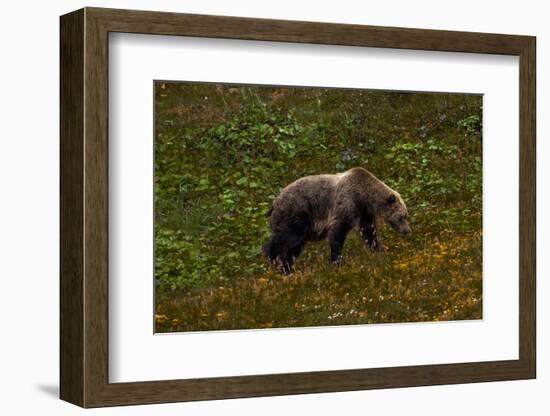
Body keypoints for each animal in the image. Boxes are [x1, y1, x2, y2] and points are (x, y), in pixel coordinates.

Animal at [266, 167, 412, 274]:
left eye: (406, 215)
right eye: (402, 216)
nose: (408, 230)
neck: (364, 196)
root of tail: (275, 202)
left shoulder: (364, 212)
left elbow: (370, 232)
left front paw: (381, 249)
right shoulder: (347, 202)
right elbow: (338, 232)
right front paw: (336, 262)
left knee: (294, 247)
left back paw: (289, 268)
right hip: (296, 214)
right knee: (286, 239)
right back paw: (278, 263)